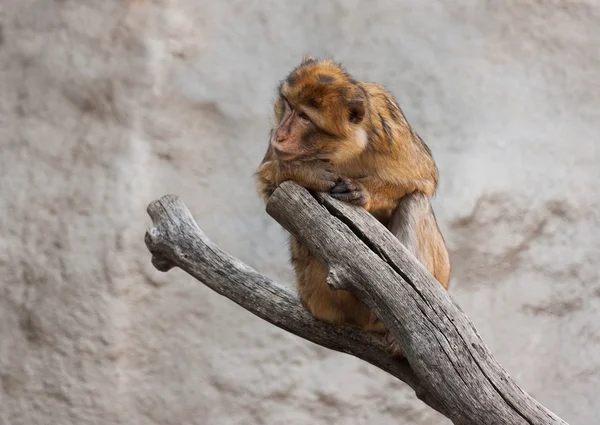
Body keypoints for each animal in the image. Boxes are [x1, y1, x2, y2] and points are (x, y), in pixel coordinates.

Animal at [255, 56, 448, 354]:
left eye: (304, 117)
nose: (280, 135)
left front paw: (363, 191)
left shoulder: (389, 124)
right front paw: (306, 172)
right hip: (320, 297)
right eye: (288, 105)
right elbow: (267, 181)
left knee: (415, 201)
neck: (342, 149)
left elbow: (424, 178)